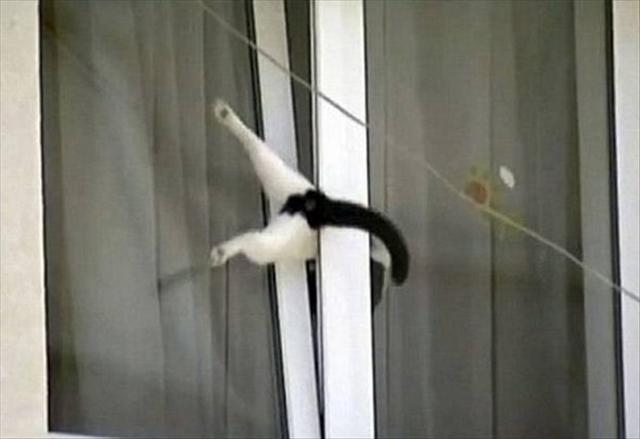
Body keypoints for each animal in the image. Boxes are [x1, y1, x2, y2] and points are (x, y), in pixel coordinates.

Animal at [209, 99, 409, 285]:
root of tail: (318, 203)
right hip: (287, 232)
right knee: (254, 241)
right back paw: (222, 252)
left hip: (285, 187)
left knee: (258, 150)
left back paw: (225, 114)